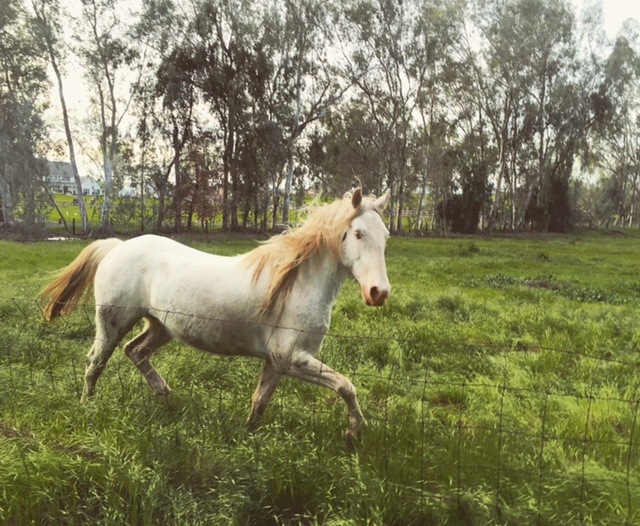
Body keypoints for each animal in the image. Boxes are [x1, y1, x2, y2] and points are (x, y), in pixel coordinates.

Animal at [40, 189, 391, 441]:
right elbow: (346, 386)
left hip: (161, 326)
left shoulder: (277, 362)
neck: (295, 284)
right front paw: (354, 432)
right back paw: (88, 406)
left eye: (385, 235)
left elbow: (259, 401)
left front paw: (248, 436)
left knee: (135, 351)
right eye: (358, 234)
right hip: (112, 325)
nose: (379, 292)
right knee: (95, 363)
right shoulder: (293, 359)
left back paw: (164, 394)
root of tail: (116, 247)